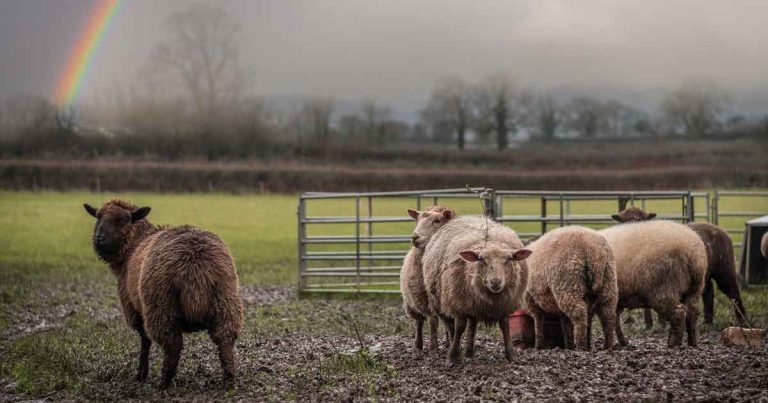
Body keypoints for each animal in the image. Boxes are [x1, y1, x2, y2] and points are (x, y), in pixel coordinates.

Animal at [83, 199, 243, 388]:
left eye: (123, 220)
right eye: (98, 218)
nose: (99, 239)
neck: (134, 244)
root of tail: (195, 265)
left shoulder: (135, 309)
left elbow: (145, 341)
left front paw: (141, 374)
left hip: (160, 306)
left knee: (172, 345)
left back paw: (164, 383)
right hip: (225, 300)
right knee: (224, 339)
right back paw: (229, 379)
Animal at [400, 206, 456, 351]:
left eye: (437, 220)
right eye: (417, 220)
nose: (415, 237)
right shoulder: (426, 299)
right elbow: (433, 322)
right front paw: (433, 346)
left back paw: (448, 342)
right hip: (412, 302)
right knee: (419, 321)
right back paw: (418, 344)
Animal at [422, 215, 531, 365]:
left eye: (509, 258)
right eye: (481, 259)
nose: (495, 281)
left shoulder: (504, 305)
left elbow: (505, 327)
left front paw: (511, 355)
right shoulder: (459, 303)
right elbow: (460, 327)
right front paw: (452, 357)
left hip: (473, 303)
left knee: (472, 326)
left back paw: (469, 352)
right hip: (443, 301)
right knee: (451, 326)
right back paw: (456, 348)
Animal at [599, 219, 707, 348]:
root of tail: (694, 254)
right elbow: (615, 320)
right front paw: (622, 342)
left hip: (665, 289)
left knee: (678, 313)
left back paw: (673, 343)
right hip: (695, 288)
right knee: (692, 312)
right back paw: (692, 342)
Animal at [613, 207, 748, 326]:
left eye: (642, 221)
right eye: (623, 222)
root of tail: (720, 229)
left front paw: (661, 324)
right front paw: (650, 324)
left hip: (724, 269)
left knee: (733, 292)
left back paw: (743, 321)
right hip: (703, 274)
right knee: (708, 292)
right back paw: (707, 322)